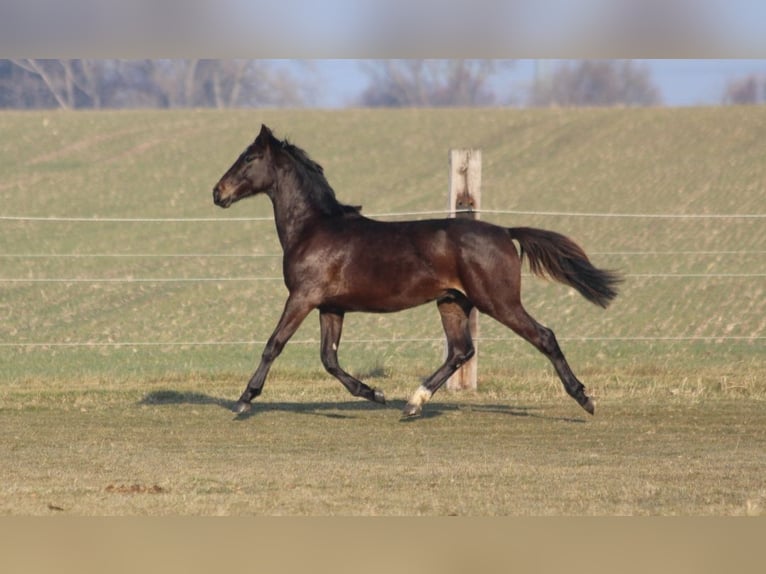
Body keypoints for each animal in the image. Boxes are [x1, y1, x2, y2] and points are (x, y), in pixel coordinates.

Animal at [213, 125, 620, 418]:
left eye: (249, 157)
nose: (218, 193)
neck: (314, 228)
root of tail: (506, 232)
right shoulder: (331, 306)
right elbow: (329, 359)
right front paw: (374, 393)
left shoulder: (302, 297)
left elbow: (274, 344)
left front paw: (244, 399)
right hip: (453, 302)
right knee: (461, 350)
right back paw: (413, 402)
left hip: (498, 301)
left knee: (543, 336)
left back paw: (585, 399)